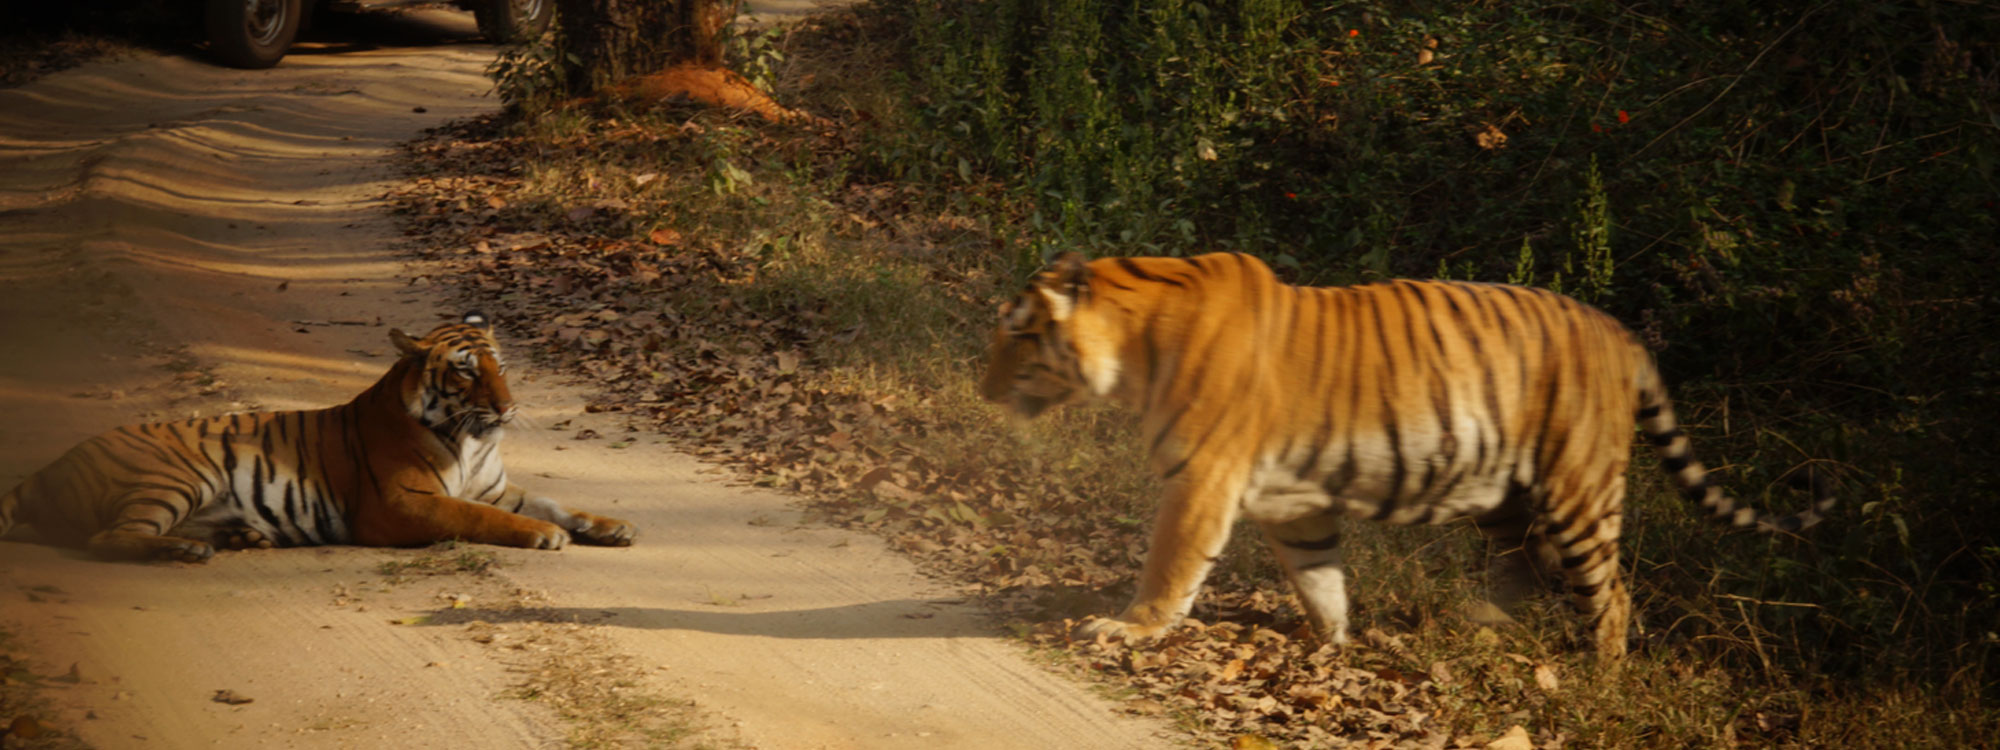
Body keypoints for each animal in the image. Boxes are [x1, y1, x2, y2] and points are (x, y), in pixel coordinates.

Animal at [0, 312, 632, 564]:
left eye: (500, 367)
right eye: (466, 371)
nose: (508, 407)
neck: (475, 440)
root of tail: (49, 467)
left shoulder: (496, 488)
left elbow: (554, 501)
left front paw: (609, 525)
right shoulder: (401, 503)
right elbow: (484, 517)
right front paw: (545, 535)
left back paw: (240, 538)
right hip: (174, 476)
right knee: (106, 538)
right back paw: (185, 550)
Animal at [976, 253, 1832, 656]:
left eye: (1018, 334)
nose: (981, 388)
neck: (1132, 343)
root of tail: (1622, 333)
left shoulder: (1202, 482)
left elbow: (1169, 566)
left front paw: (1128, 629)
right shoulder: (1294, 503)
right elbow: (1320, 580)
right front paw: (1334, 644)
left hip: (1578, 490)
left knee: (1613, 595)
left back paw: (1599, 677)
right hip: (1510, 501)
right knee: (1524, 573)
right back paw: (1482, 631)